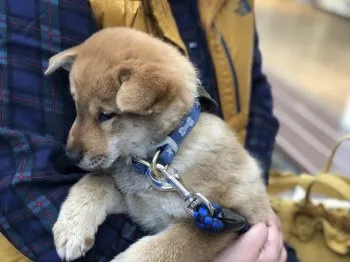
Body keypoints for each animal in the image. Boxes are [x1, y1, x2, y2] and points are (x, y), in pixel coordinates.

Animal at [45, 27, 270, 260]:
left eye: (106, 115)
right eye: (76, 107)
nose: (70, 155)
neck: (161, 157)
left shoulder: (221, 220)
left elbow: (160, 249)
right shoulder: (137, 205)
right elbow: (96, 180)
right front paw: (72, 226)